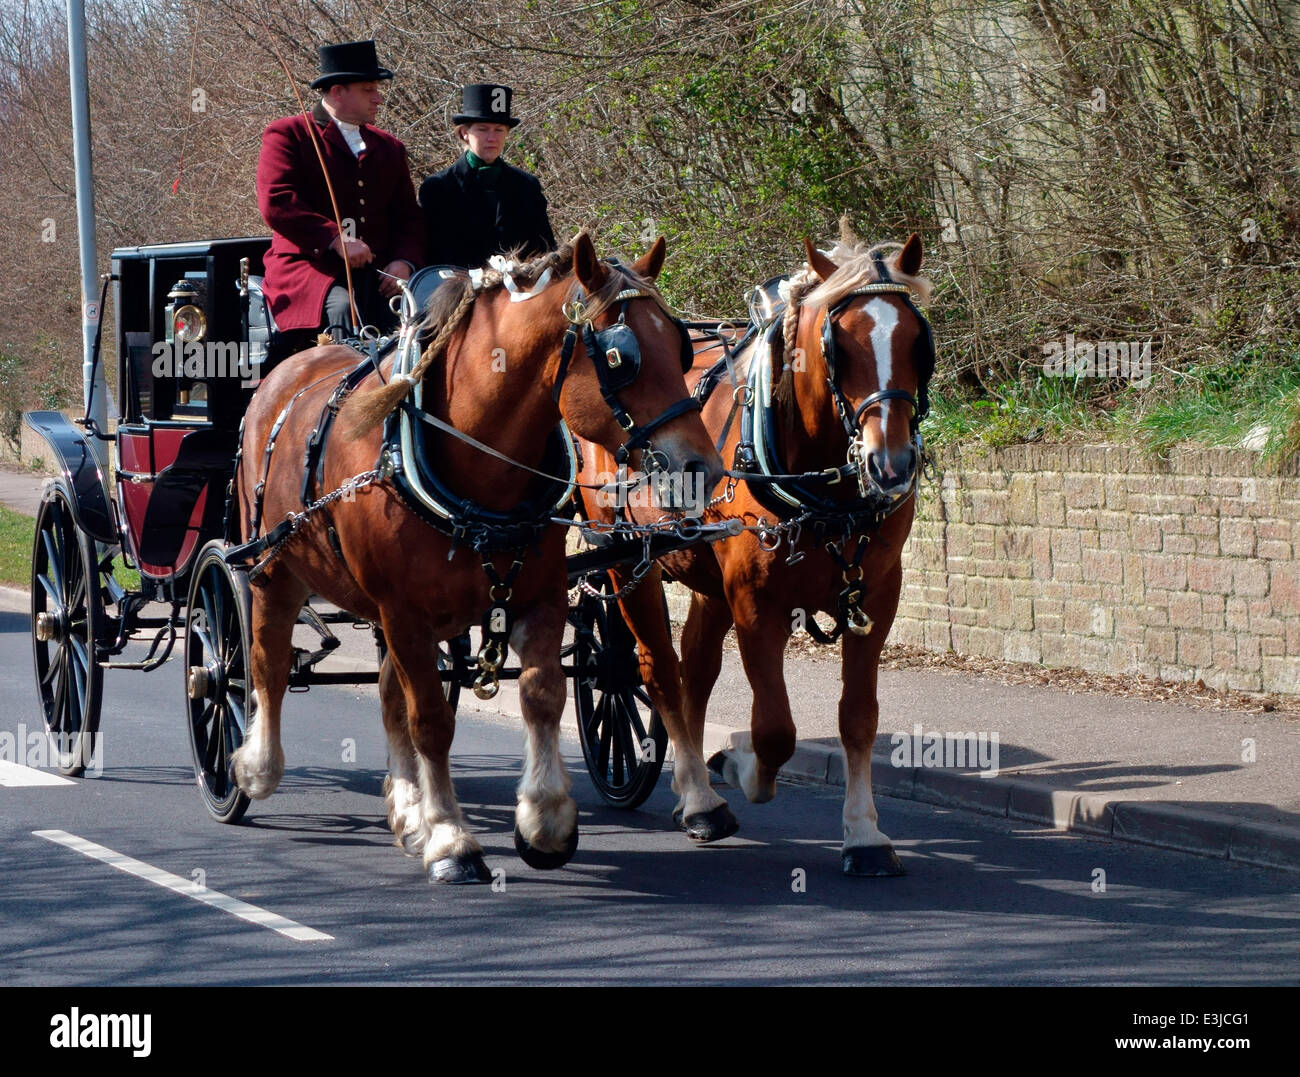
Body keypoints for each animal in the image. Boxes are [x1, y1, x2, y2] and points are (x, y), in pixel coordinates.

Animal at [228, 234, 724, 884]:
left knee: (388, 695)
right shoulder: (403, 613)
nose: (703, 468)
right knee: (264, 662)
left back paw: (405, 807)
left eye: (680, 343)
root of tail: (285, 371)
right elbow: (433, 721)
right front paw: (450, 838)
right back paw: (255, 765)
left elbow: (541, 694)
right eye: (622, 358)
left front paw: (544, 819)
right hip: (274, 569)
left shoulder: (536, 598)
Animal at [576, 227, 934, 875]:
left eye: (917, 343)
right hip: (624, 559)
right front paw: (741, 769)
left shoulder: (875, 597)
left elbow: (858, 717)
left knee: (694, 672)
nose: (890, 465)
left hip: (706, 578)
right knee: (657, 670)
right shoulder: (754, 601)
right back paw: (701, 800)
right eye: (839, 347)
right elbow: (774, 729)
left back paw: (690, 789)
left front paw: (865, 833)